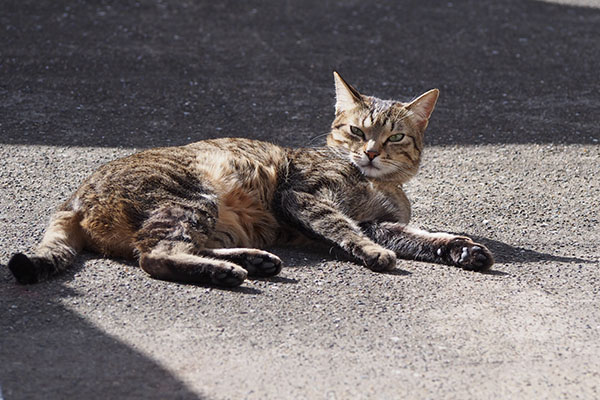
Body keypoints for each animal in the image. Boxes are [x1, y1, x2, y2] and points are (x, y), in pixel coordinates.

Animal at [7, 71, 492, 284]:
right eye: (356, 131)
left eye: (394, 137)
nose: (370, 153)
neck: (378, 182)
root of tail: (74, 197)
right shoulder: (305, 198)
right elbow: (346, 228)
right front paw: (374, 254)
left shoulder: (381, 221)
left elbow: (424, 236)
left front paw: (463, 249)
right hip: (192, 198)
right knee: (155, 256)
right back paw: (227, 272)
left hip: (206, 218)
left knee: (170, 247)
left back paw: (251, 261)